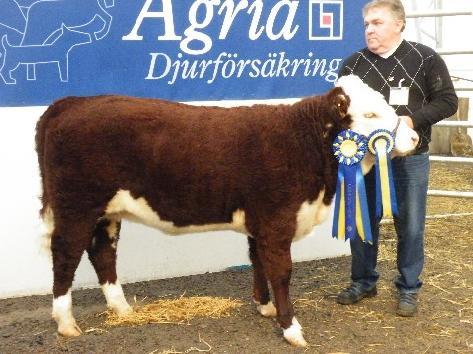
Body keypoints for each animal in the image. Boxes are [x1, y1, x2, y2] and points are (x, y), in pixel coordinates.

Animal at [34, 75, 416, 348]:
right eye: (370, 114)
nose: (413, 138)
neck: (303, 141)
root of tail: (71, 103)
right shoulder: (277, 220)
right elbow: (281, 272)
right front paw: (291, 328)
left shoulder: (260, 221)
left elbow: (257, 261)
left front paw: (265, 307)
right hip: (76, 206)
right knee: (66, 255)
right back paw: (66, 323)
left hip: (106, 213)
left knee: (102, 253)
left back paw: (123, 309)